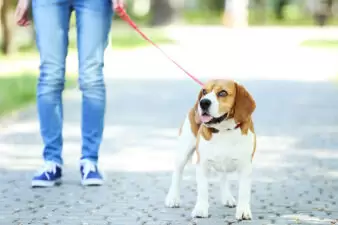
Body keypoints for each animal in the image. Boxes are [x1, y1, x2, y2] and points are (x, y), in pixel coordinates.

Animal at [164, 80, 256, 221]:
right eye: (204, 91)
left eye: (222, 93)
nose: (203, 102)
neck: (224, 130)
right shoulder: (202, 164)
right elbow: (202, 190)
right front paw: (201, 209)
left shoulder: (245, 167)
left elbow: (244, 192)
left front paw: (243, 211)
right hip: (183, 153)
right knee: (177, 174)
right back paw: (173, 198)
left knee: (223, 177)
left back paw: (227, 197)